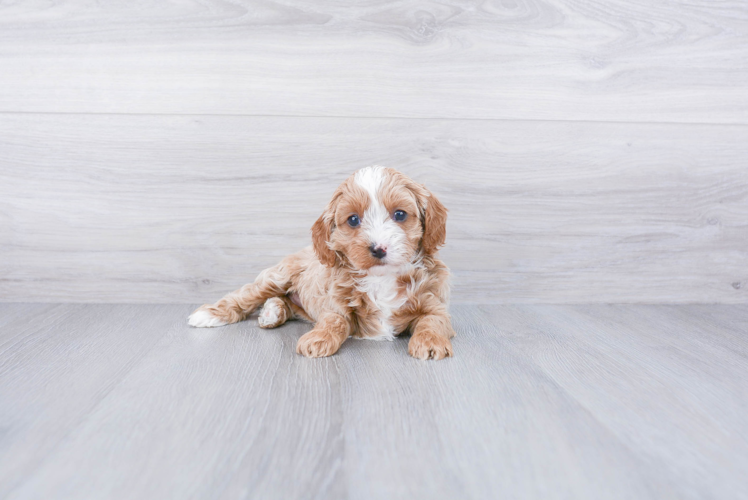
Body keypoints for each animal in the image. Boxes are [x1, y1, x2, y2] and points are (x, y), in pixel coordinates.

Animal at [187, 167, 456, 360]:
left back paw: (272, 311)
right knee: (246, 295)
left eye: (400, 214)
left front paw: (430, 342)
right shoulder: (336, 302)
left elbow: (432, 320)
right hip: (278, 275)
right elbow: (333, 320)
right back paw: (211, 314)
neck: (382, 277)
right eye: (353, 220)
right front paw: (318, 339)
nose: (378, 248)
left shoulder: (435, 302)